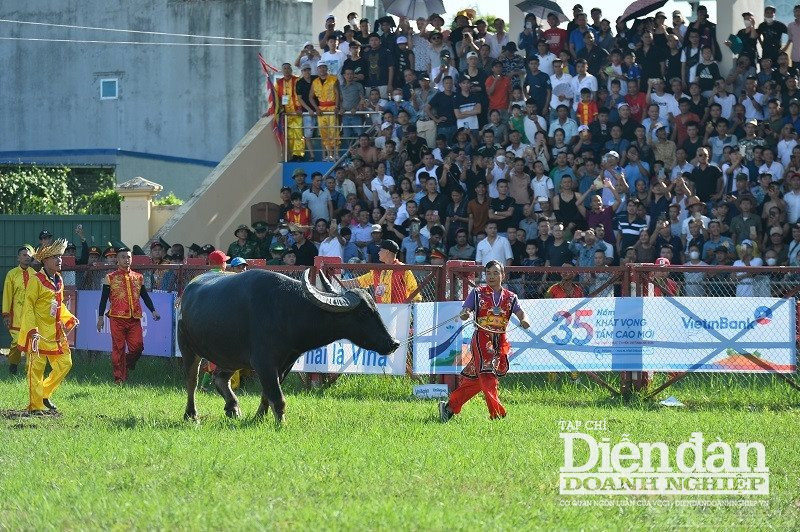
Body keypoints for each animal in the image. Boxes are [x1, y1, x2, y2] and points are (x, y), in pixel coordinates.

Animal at [177, 270, 396, 424]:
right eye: (363, 313)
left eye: (375, 309)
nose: (394, 343)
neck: (288, 310)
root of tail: (187, 292)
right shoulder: (264, 363)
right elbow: (277, 396)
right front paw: (280, 423)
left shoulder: (285, 363)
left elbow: (268, 393)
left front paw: (259, 417)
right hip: (189, 349)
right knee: (192, 382)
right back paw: (191, 415)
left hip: (231, 356)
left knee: (220, 378)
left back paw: (233, 408)